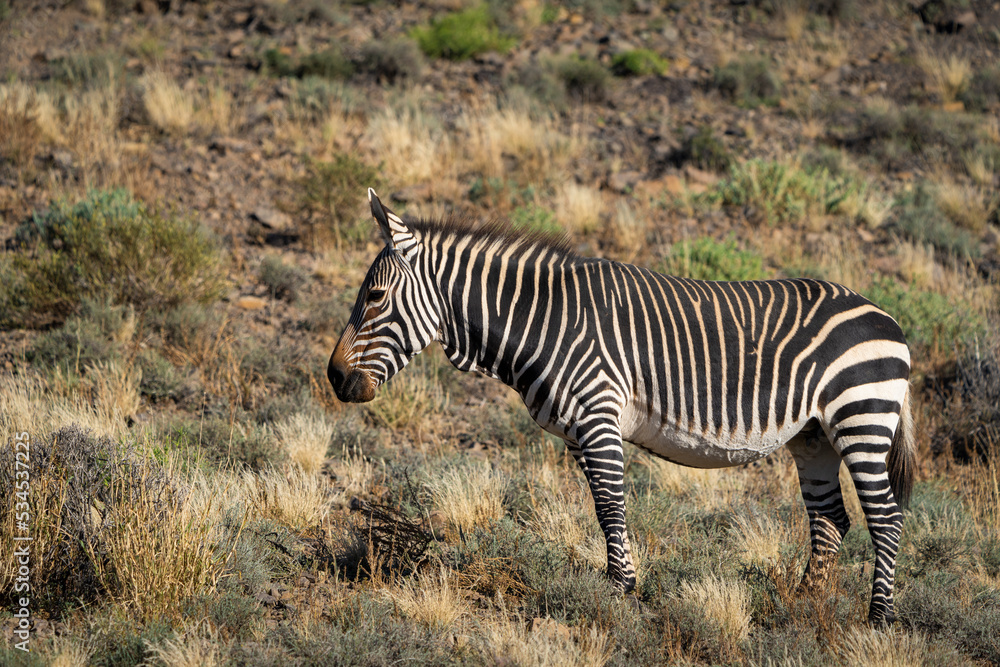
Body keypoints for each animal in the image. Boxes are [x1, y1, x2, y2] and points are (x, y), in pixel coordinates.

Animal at [328, 189, 916, 626]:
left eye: (374, 297)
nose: (334, 378)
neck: (546, 321)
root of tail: (887, 317)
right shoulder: (577, 430)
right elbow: (600, 507)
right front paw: (621, 584)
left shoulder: (598, 414)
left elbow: (612, 507)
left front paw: (619, 592)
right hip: (814, 436)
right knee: (831, 518)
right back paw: (803, 605)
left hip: (860, 419)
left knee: (885, 517)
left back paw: (877, 618)